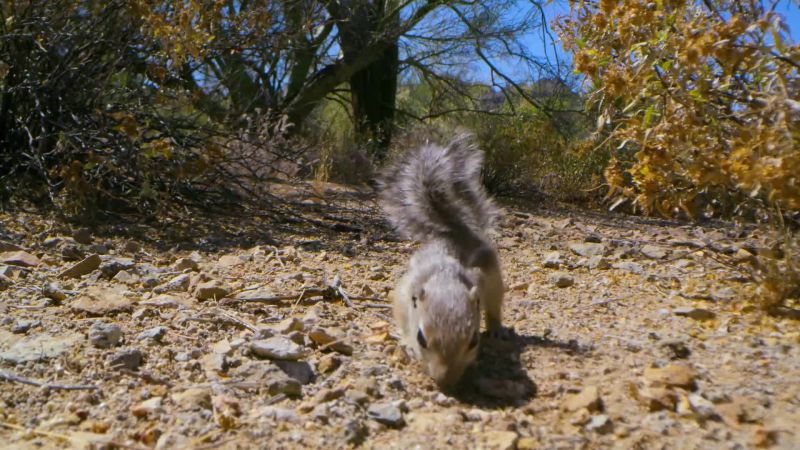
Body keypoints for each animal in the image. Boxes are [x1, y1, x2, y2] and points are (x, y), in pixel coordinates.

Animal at [378, 134, 506, 390]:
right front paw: (406, 343)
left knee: (495, 306)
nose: (445, 382)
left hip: (495, 280)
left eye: (474, 340)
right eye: (420, 338)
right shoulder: (403, 294)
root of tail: (455, 231)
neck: (444, 279)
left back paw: (497, 329)